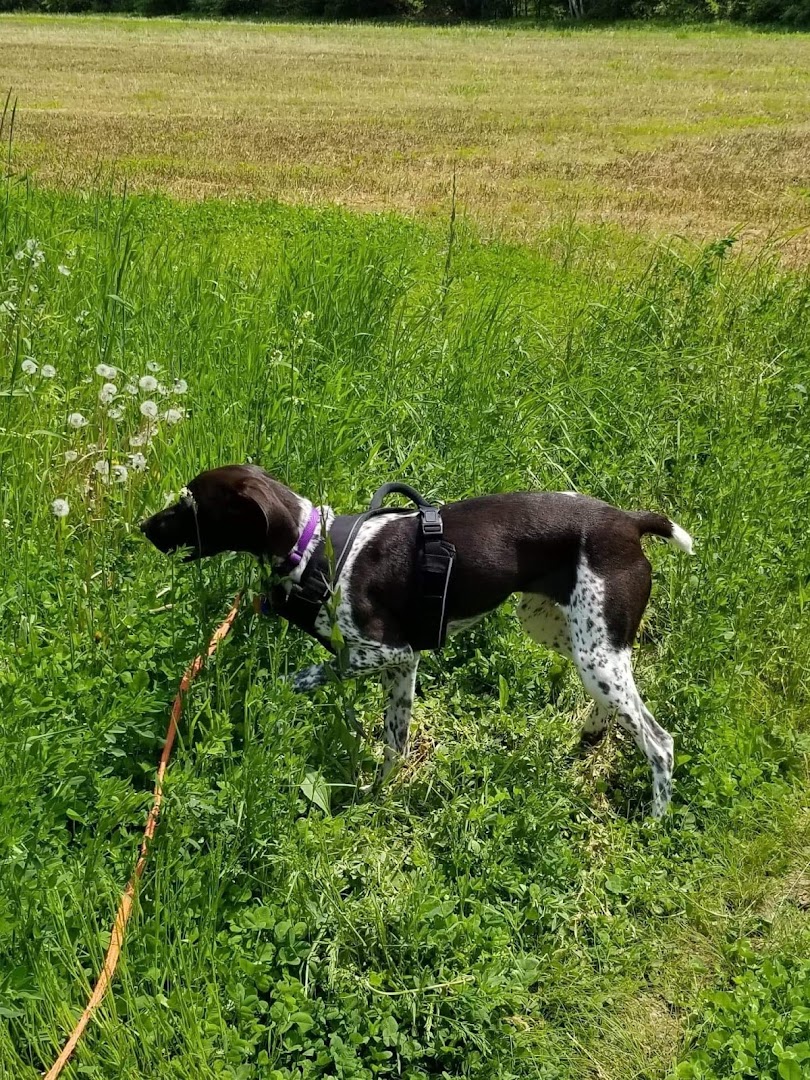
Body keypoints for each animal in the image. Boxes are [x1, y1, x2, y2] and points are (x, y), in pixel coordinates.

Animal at [142, 466, 695, 816]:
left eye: (190, 502)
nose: (144, 527)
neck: (316, 550)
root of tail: (629, 522)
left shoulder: (388, 652)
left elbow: (305, 677)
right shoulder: (401, 667)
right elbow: (396, 741)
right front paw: (376, 796)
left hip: (595, 651)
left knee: (659, 743)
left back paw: (655, 819)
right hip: (564, 633)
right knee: (615, 707)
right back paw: (590, 736)